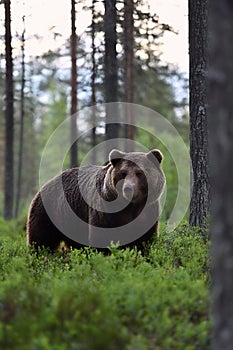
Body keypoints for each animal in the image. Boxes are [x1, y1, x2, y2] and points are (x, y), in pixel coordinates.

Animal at [26, 149, 166, 253]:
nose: (128, 188)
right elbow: (101, 238)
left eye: (139, 173)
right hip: (50, 212)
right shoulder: (105, 210)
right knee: (41, 239)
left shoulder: (149, 211)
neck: (131, 206)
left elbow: (144, 240)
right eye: (123, 173)